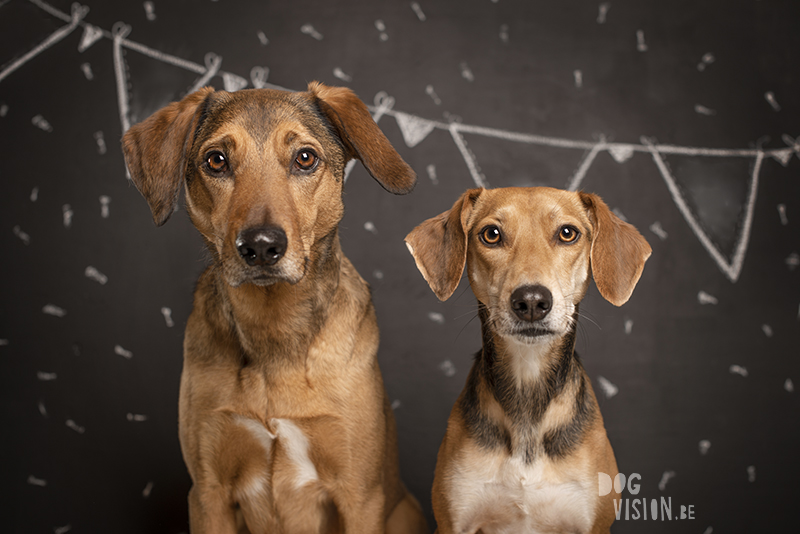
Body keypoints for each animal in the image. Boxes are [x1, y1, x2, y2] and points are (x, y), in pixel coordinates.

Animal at [121, 84, 428, 534]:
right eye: (216, 160)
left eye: (305, 157)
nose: (261, 246)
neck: (272, 330)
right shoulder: (208, 493)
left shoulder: (359, 495)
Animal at [406, 188, 648, 534]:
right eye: (491, 234)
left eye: (567, 233)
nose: (532, 301)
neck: (527, 386)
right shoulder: (453, 521)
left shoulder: (594, 524)